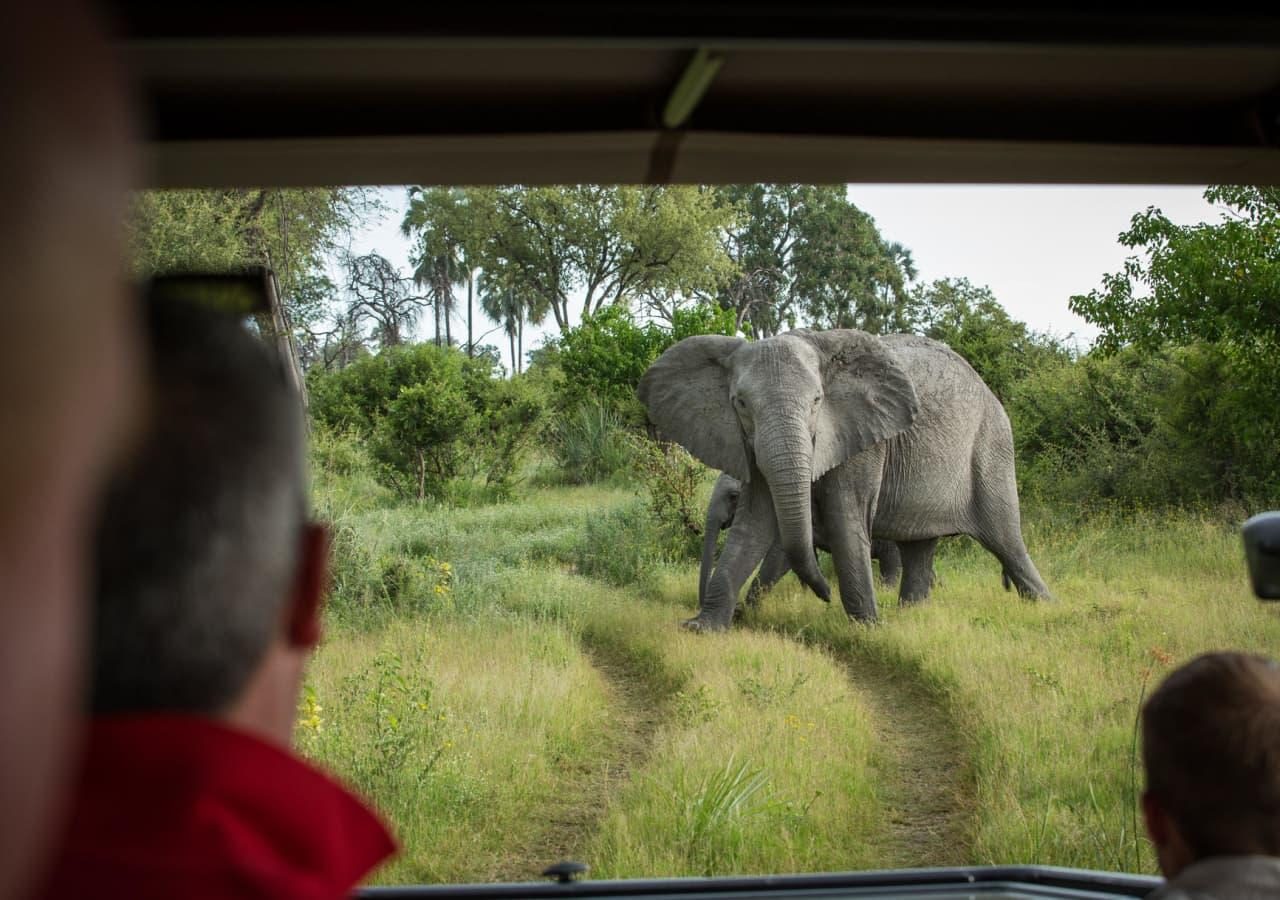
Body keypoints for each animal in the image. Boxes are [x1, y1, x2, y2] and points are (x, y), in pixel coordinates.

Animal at [640, 327, 1049, 629]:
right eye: (740, 403)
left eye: (817, 401)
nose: (824, 594)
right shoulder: (747, 444)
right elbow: (754, 526)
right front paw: (705, 627)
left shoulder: (864, 437)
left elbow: (843, 519)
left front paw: (867, 629)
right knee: (919, 547)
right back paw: (911, 616)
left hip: (991, 447)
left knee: (1006, 540)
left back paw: (1045, 607)